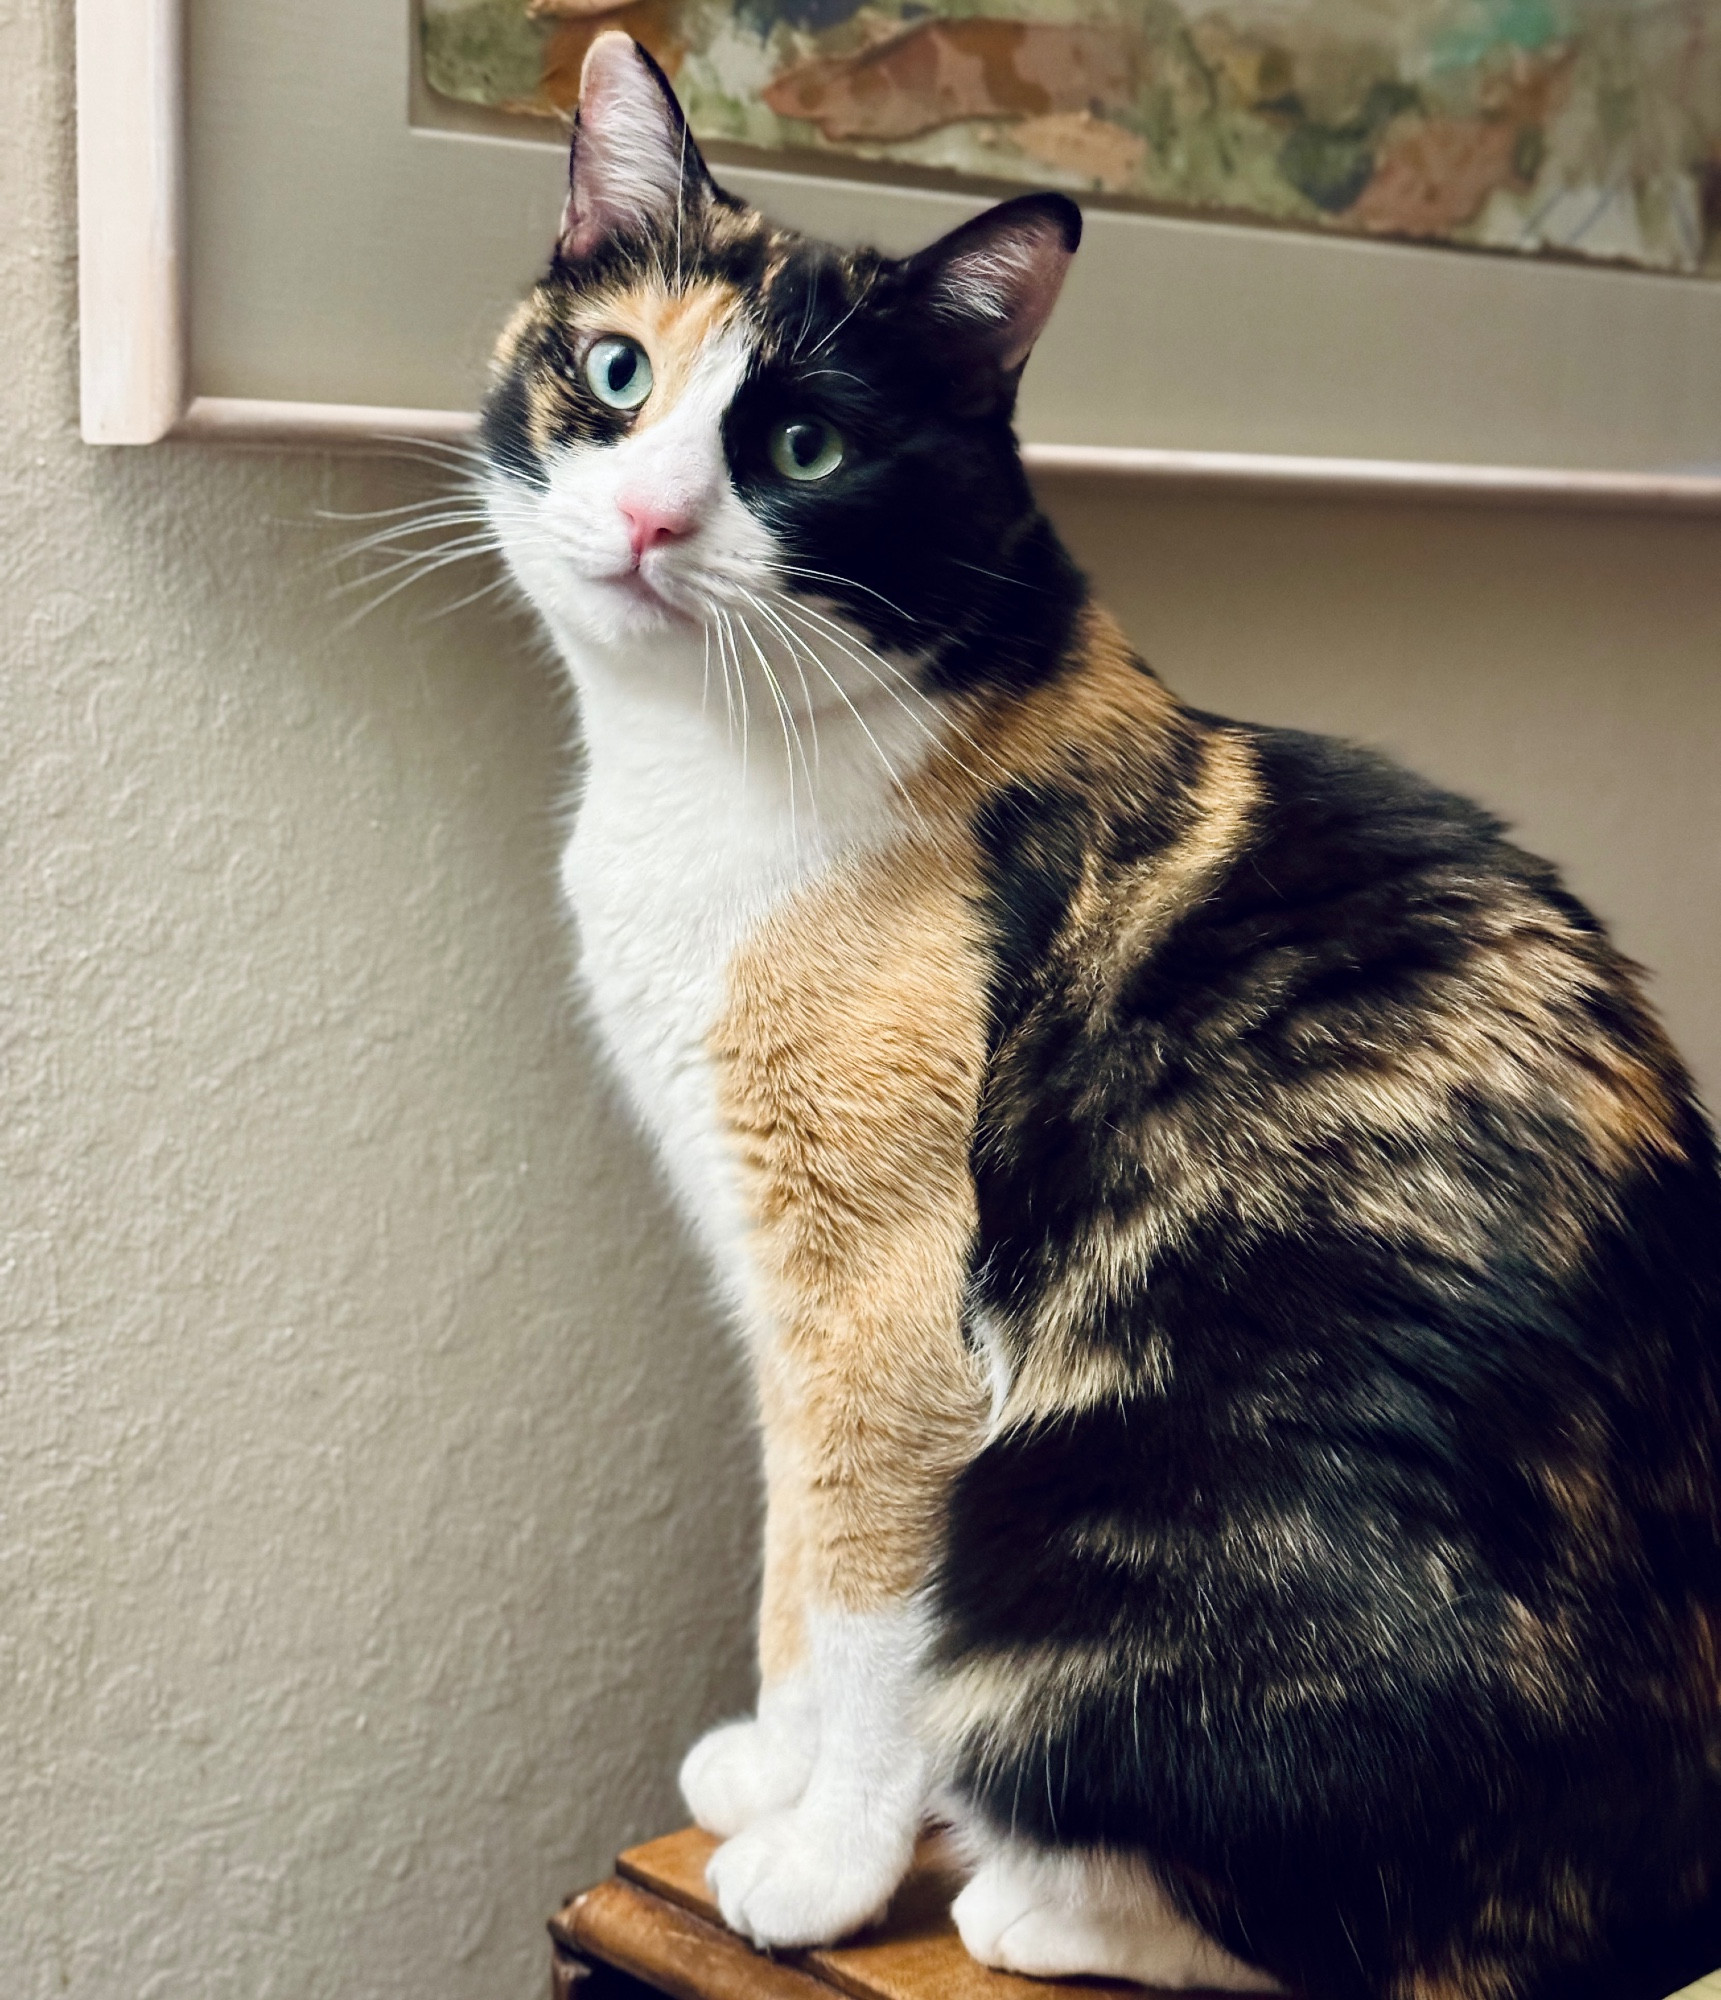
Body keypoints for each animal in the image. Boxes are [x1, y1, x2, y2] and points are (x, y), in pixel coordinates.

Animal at [478, 31, 1721, 2000]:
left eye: (807, 447)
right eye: (618, 372)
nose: (654, 515)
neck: (709, 775)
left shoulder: (889, 1289)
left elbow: (867, 1591)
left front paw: (821, 1860)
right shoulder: (775, 1282)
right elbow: (791, 1550)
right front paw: (768, 1766)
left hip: (1086, 1513)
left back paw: (1027, 1895)